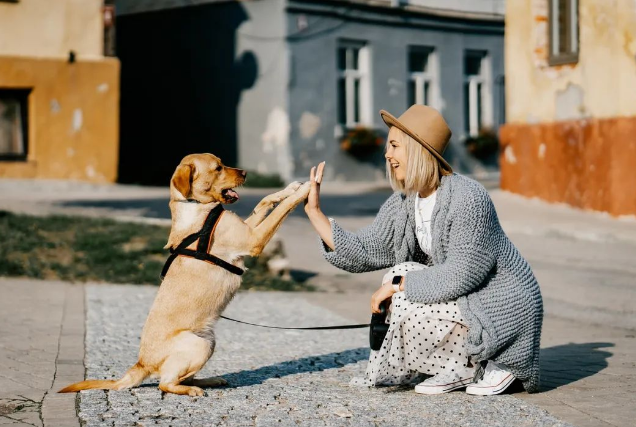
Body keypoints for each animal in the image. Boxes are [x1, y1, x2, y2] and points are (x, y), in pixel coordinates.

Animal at [59, 154, 310, 398]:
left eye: (222, 163)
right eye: (218, 168)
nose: (246, 173)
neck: (197, 207)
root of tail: (141, 363)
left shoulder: (248, 229)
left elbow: (265, 201)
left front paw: (290, 188)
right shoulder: (253, 239)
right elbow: (281, 209)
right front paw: (305, 190)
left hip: (209, 341)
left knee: (181, 377)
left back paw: (209, 380)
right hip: (198, 345)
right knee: (165, 383)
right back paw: (192, 390)